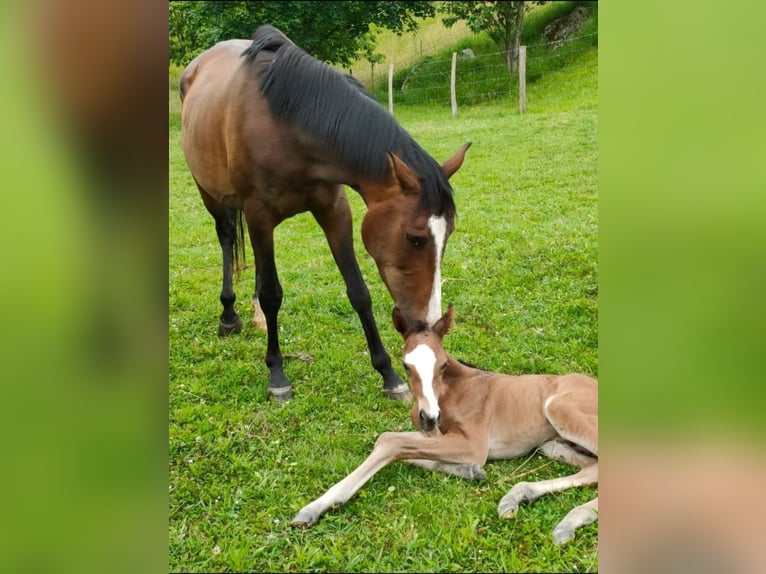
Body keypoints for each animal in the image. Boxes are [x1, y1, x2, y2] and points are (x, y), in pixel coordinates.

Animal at [180, 25, 472, 400]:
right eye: (415, 238)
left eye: (447, 236)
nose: (429, 322)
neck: (289, 125)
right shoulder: (259, 214)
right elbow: (274, 295)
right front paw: (277, 374)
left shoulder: (334, 210)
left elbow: (359, 291)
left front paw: (388, 375)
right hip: (212, 196)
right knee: (228, 238)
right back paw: (229, 315)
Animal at [294, 306, 600, 544]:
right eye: (405, 365)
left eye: (442, 365)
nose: (429, 417)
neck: (455, 390)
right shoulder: (433, 434)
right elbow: (396, 444)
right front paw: (470, 472)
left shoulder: (474, 444)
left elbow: (390, 442)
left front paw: (315, 507)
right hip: (551, 444)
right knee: (592, 470)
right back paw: (519, 498)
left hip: (559, 409)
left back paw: (567, 522)